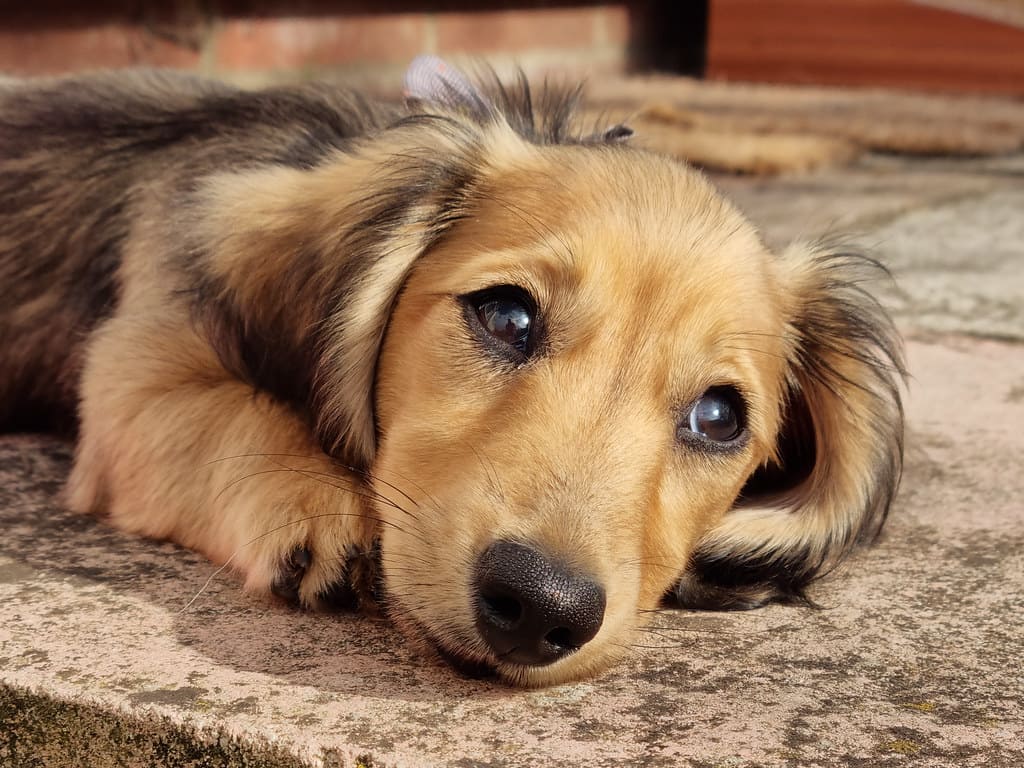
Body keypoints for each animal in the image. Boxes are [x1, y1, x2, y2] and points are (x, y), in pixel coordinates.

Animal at [0, 58, 905, 684]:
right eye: (507, 316)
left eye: (718, 418)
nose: (541, 609)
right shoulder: (131, 383)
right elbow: (230, 413)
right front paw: (317, 503)